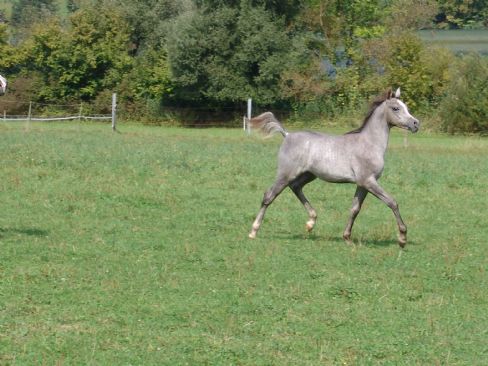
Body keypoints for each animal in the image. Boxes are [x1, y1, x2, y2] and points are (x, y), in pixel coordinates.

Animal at [248, 89, 420, 249]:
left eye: (406, 106)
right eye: (396, 108)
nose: (416, 124)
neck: (369, 144)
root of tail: (287, 135)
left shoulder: (363, 184)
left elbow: (354, 209)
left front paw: (347, 238)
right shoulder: (368, 181)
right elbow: (392, 202)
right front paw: (402, 239)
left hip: (308, 175)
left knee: (296, 187)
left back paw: (311, 223)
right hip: (286, 174)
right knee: (269, 196)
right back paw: (253, 231)